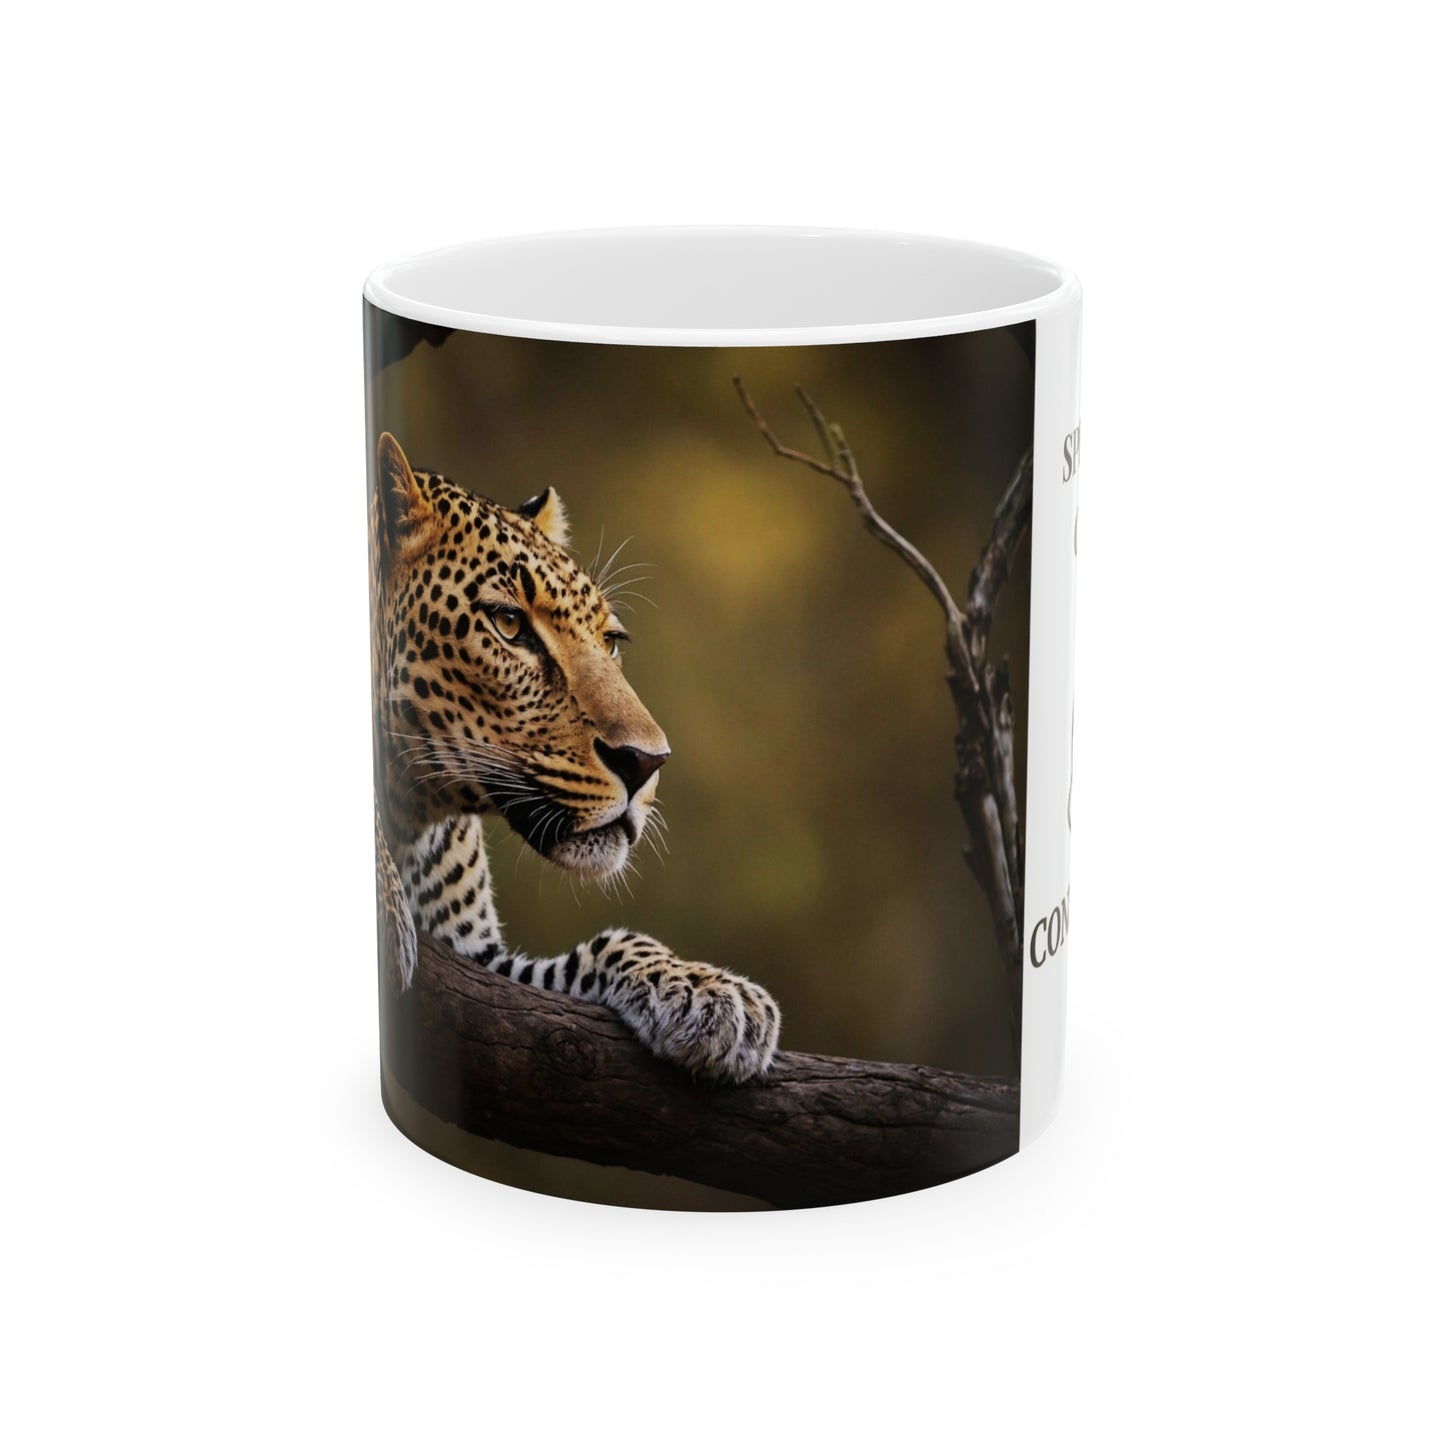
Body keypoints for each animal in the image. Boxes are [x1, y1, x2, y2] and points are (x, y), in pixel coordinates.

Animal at [371, 431, 780, 1083]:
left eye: (609, 641)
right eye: (509, 624)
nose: (647, 763)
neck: (419, 815)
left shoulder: (480, 959)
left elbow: (605, 946)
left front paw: (711, 994)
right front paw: (383, 903)